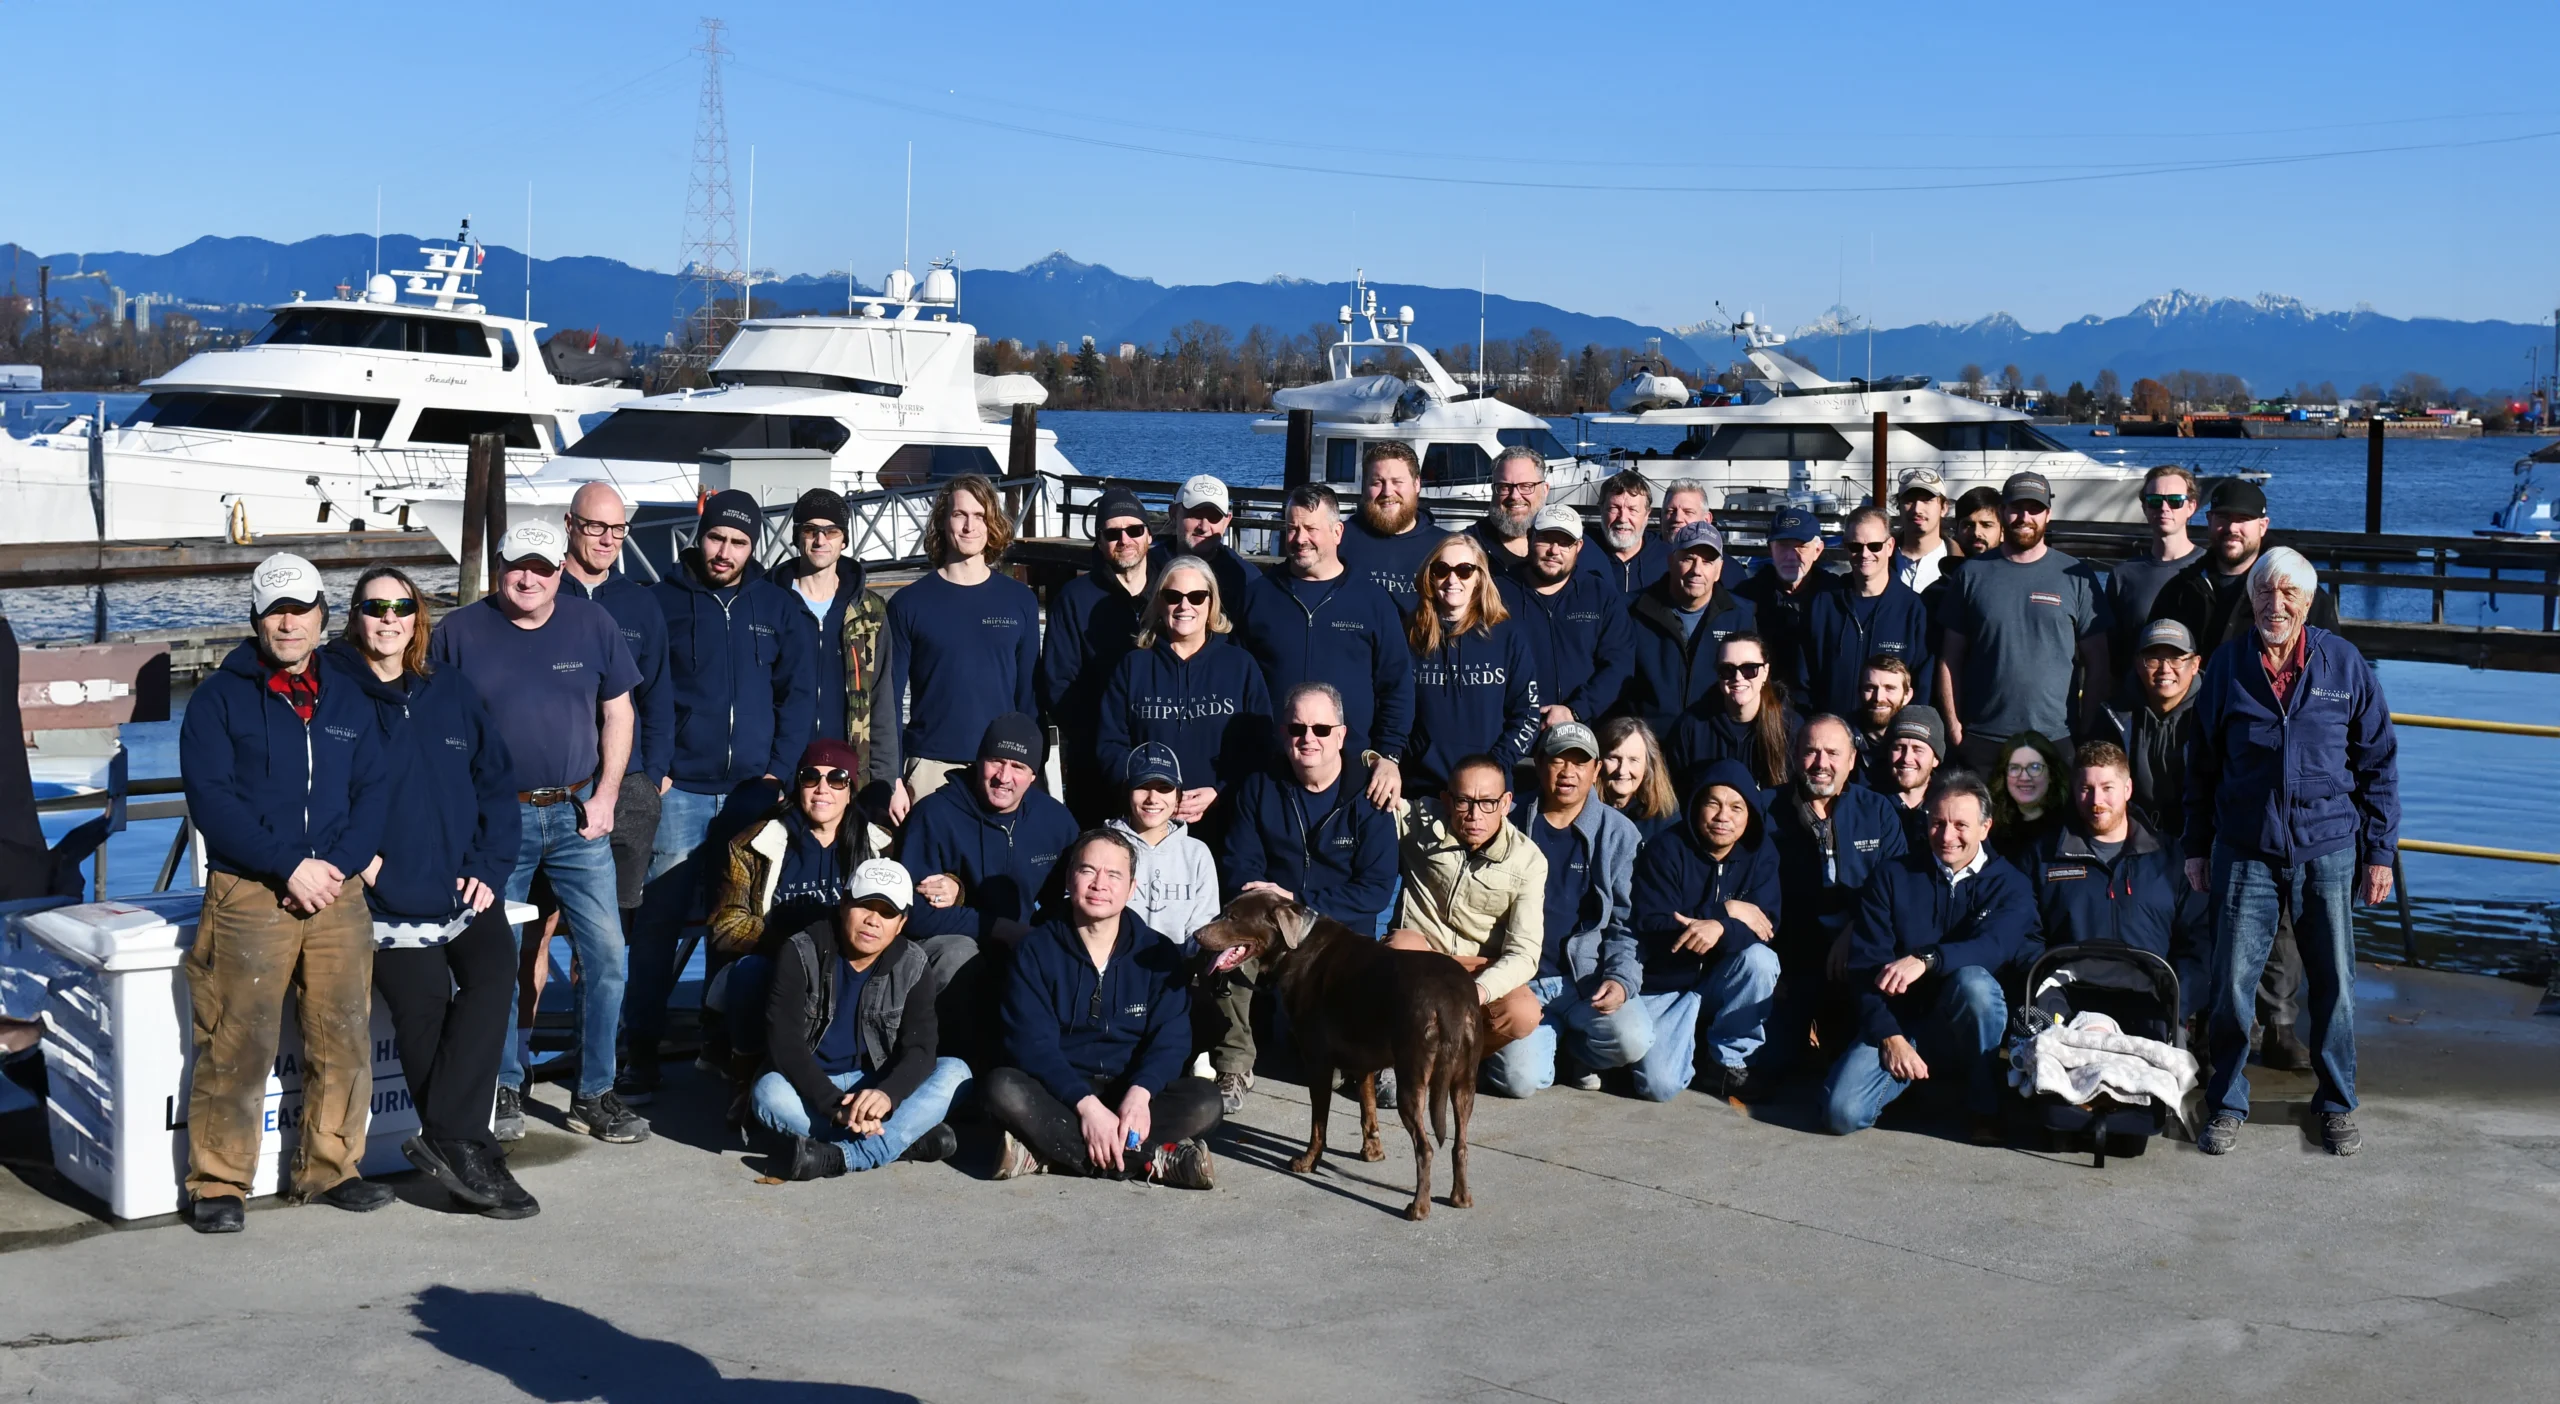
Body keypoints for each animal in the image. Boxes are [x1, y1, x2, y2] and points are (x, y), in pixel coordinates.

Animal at [1192, 891, 1484, 1224]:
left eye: (1233, 917)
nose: (1196, 935)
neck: (1295, 943)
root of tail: (1450, 1001)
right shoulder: (1364, 1062)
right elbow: (1367, 1108)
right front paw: (1372, 1152)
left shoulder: (1317, 1061)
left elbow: (1318, 1126)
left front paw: (1307, 1162)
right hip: (1464, 1082)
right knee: (1460, 1144)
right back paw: (1461, 1197)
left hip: (1413, 1078)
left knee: (1426, 1148)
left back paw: (1418, 1207)